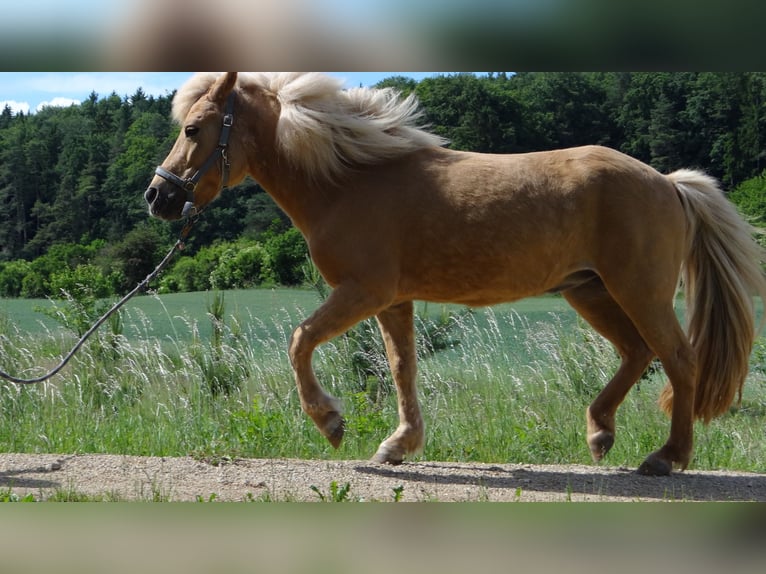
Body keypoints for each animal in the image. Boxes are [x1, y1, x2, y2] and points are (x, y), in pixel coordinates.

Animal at [145, 72, 766, 475]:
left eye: (195, 128)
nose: (158, 196)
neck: (349, 180)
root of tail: (670, 183)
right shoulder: (392, 300)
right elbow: (402, 369)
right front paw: (398, 445)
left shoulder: (364, 290)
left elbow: (300, 341)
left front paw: (331, 422)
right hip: (589, 291)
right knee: (637, 353)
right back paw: (600, 431)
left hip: (639, 291)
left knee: (678, 359)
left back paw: (667, 457)